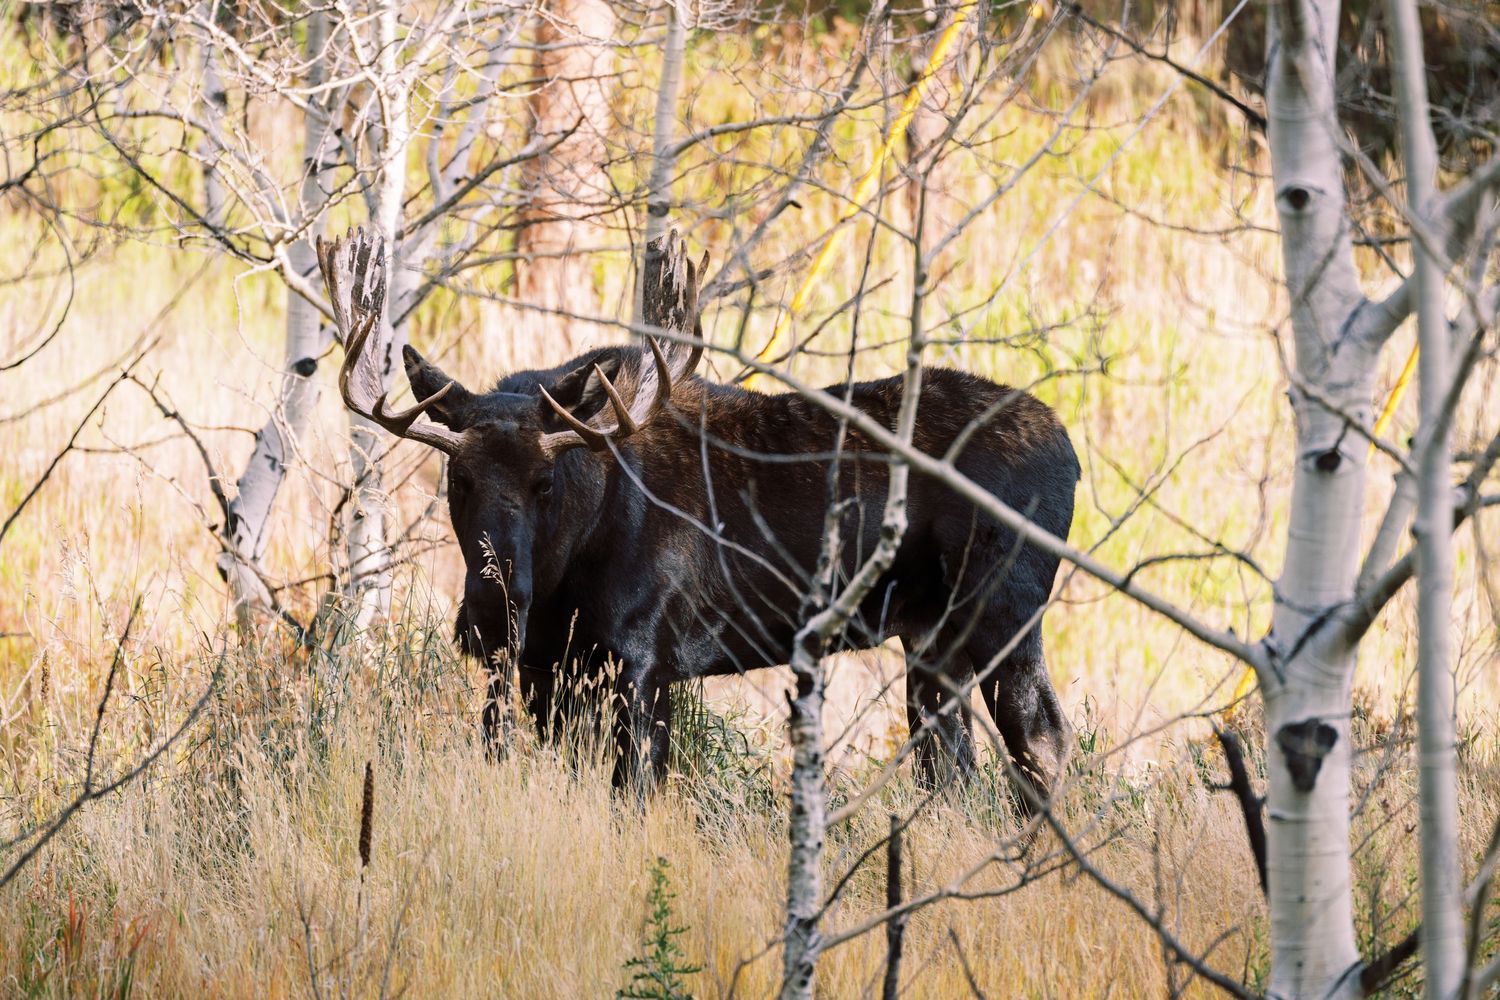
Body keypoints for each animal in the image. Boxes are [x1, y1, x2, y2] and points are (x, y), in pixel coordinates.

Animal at [317, 227, 1080, 806]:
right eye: (458, 477)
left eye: (545, 481)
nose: (489, 612)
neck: (566, 575)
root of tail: (1072, 454)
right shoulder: (544, 671)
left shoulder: (645, 661)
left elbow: (634, 795)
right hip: (931, 636)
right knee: (953, 763)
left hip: (1005, 612)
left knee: (1042, 738)